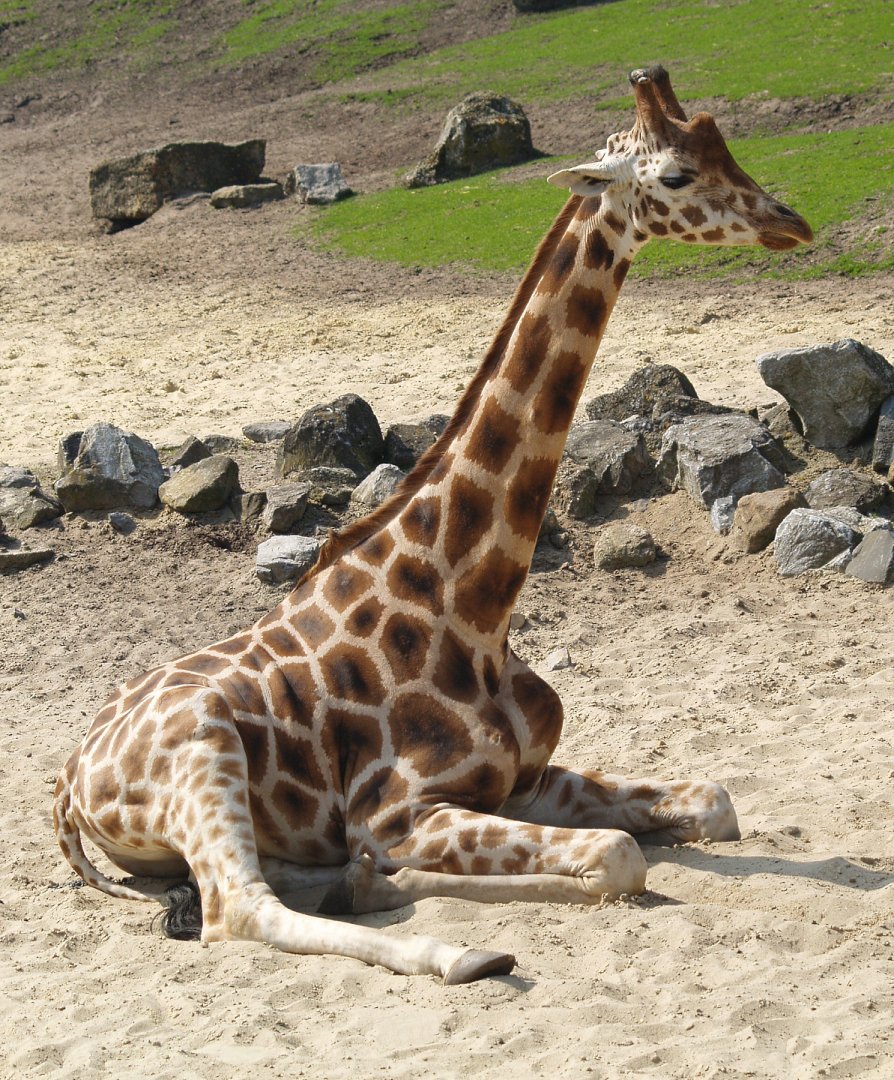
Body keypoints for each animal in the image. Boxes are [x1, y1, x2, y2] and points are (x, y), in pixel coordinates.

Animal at [54, 67, 812, 983]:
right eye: (674, 175)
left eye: (724, 145)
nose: (791, 222)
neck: (475, 604)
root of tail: (66, 780)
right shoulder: (400, 809)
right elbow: (619, 854)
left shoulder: (525, 778)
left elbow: (713, 801)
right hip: (204, 751)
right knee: (239, 910)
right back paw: (458, 950)